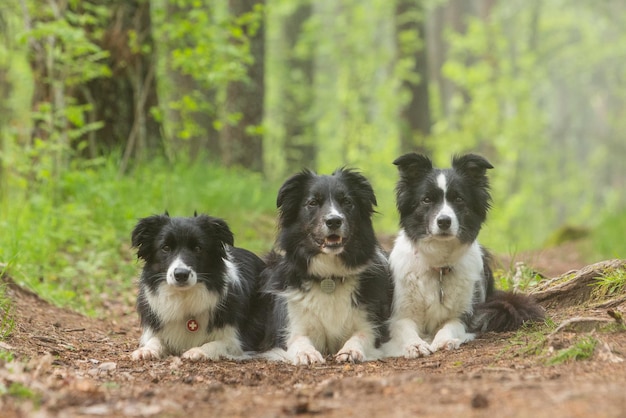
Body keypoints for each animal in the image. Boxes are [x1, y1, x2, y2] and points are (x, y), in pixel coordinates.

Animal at [128, 214, 264, 360]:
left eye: (198, 248)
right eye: (166, 247)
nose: (181, 274)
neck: (184, 297)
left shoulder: (238, 340)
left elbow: (217, 344)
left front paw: (198, 351)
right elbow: (155, 339)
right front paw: (146, 350)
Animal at [258, 168, 390, 364]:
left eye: (347, 202)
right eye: (312, 203)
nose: (334, 221)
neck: (329, 276)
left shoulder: (370, 323)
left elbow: (361, 336)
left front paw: (350, 351)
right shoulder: (291, 326)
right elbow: (298, 339)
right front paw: (306, 353)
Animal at [380, 155, 540, 358]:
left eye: (458, 199)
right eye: (426, 200)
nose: (444, 221)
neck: (439, 266)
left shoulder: (466, 314)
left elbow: (451, 325)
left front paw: (443, 340)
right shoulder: (399, 315)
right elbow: (406, 329)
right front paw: (415, 344)